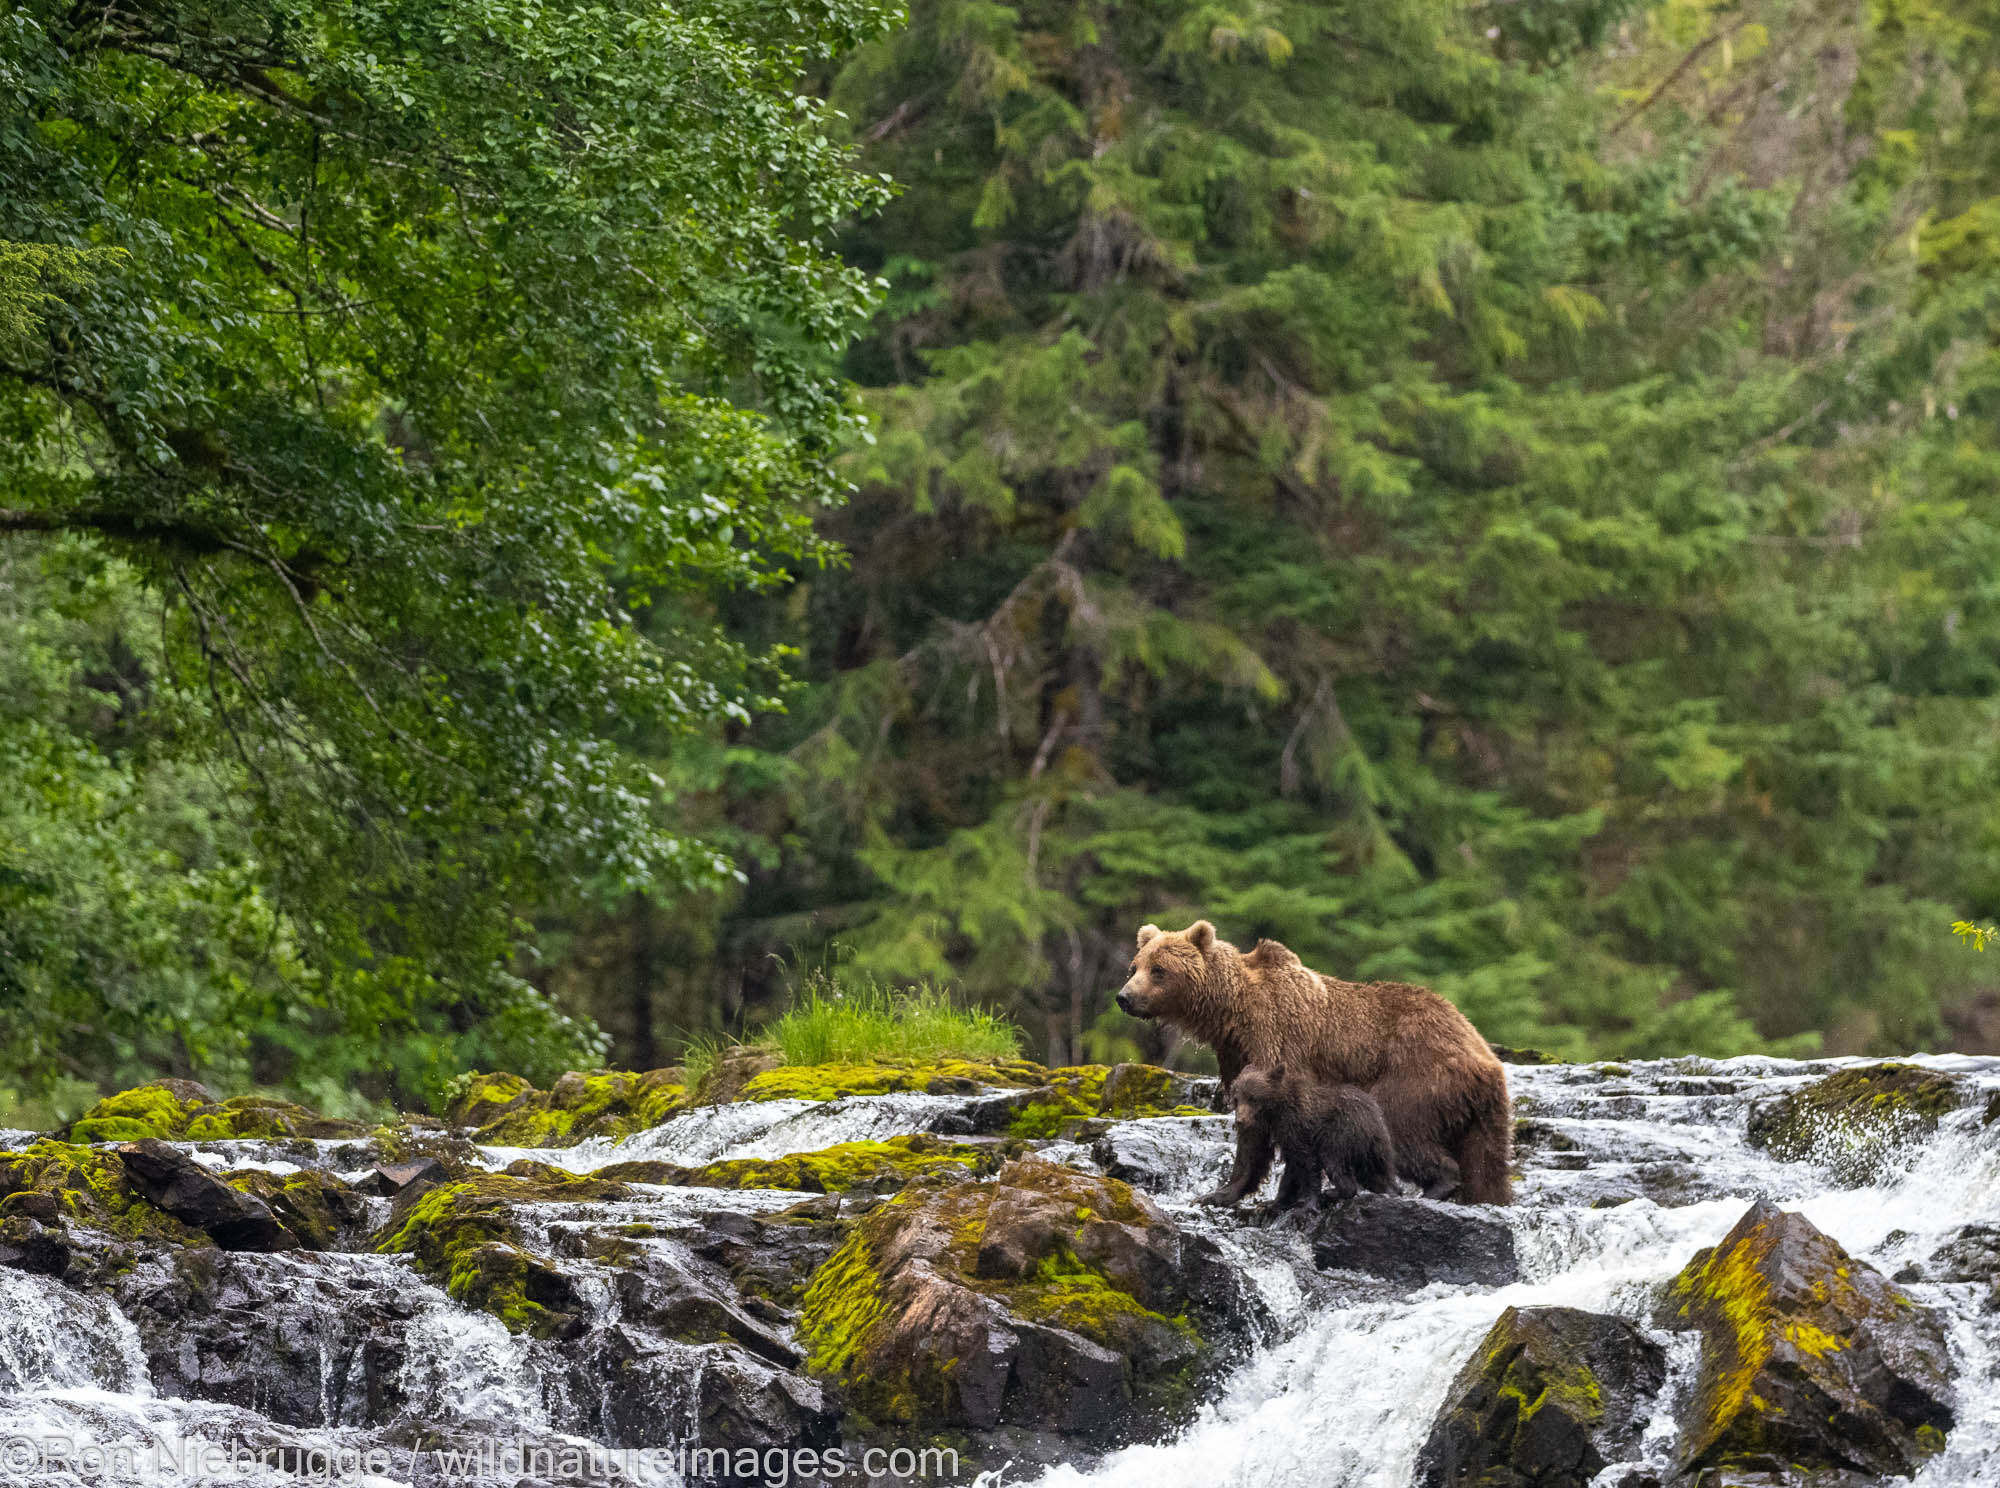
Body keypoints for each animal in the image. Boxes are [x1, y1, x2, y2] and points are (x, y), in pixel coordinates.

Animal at [1120, 924, 1504, 1200]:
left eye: (1159, 970)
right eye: (1134, 967)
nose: (1124, 997)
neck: (1232, 1013)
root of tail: (1486, 1058)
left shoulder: (1278, 1037)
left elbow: (1283, 1126)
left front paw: (1282, 1195)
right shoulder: (1236, 1054)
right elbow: (1251, 1127)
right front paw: (1223, 1192)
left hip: (1419, 1072)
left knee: (1401, 1126)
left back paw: (1437, 1185)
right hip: (1479, 1118)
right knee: (1486, 1167)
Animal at [1192, 1064, 1400, 1216]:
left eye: (1253, 1098)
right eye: (1237, 1098)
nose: (1240, 1121)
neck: (1275, 1112)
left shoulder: (1297, 1125)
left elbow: (1307, 1162)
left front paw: (1307, 1205)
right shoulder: (1275, 1133)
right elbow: (1280, 1165)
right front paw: (1270, 1203)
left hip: (1342, 1132)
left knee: (1333, 1160)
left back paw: (1334, 1192)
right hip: (1376, 1150)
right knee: (1377, 1175)